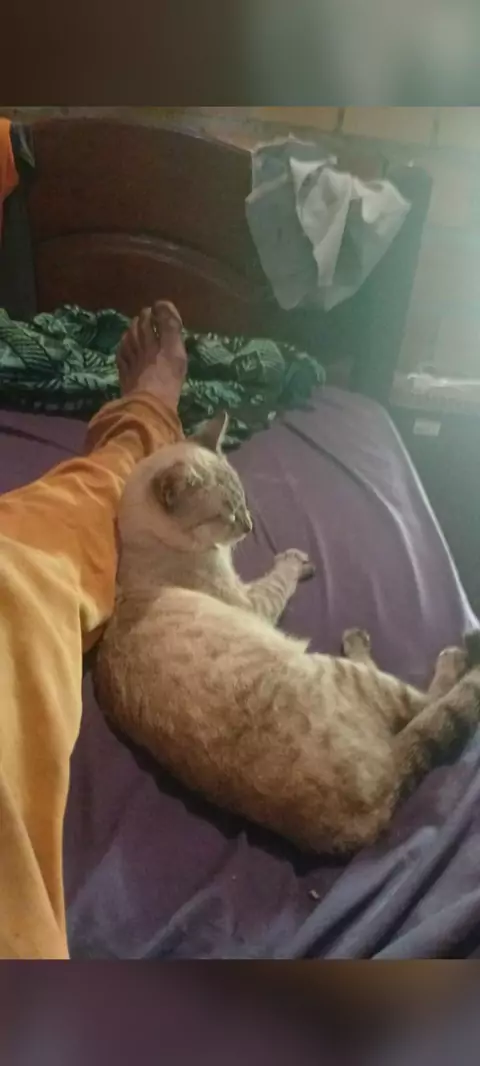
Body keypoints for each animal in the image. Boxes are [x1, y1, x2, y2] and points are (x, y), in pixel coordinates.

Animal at [93, 413, 480, 854]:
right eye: (226, 515)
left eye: (243, 502)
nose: (248, 526)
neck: (143, 545)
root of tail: (364, 821)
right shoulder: (252, 602)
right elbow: (280, 577)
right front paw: (296, 561)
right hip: (333, 670)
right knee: (425, 702)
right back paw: (391, 645)